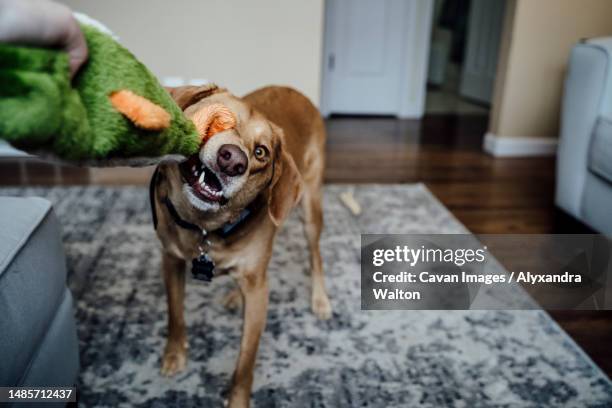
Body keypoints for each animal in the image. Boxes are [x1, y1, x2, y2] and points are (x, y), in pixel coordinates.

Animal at [150, 84, 332, 406]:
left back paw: (320, 299)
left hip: (311, 209)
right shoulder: (170, 260)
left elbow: (246, 362)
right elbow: (175, 316)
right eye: (218, 119)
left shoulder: (259, 295)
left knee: (315, 255)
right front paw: (174, 354)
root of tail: (294, 90)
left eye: (261, 152)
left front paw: (237, 400)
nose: (233, 160)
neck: (206, 227)